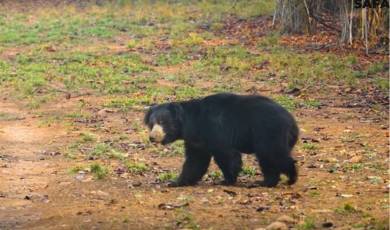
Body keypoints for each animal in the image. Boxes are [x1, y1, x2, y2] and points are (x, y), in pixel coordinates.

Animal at [144, 92, 298, 187]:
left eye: (163, 122)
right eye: (151, 124)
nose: (152, 137)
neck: (191, 123)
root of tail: (291, 122)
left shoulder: (216, 130)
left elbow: (227, 154)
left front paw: (227, 180)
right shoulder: (197, 140)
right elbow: (195, 161)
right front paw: (175, 182)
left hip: (268, 132)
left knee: (272, 154)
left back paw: (281, 179)